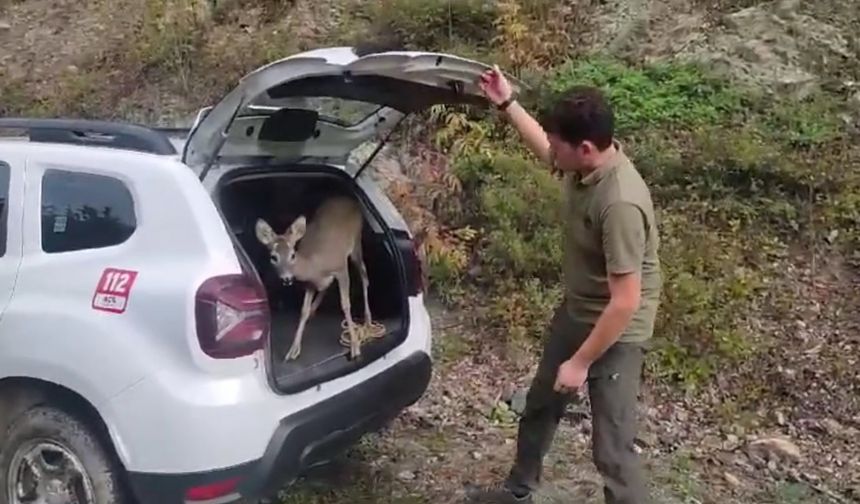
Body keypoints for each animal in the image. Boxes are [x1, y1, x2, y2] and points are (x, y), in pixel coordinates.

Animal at [255, 194, 376, 362]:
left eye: (292, 255)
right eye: (273, 257)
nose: (287, 278)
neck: (315, 264)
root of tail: (347, 198)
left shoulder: (341, 268)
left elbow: (345, 304)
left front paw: (355, 348)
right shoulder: (309, 283)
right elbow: (303, 311)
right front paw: (293, 350)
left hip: (356, 243)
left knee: (364, 275)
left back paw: (368, 320)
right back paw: (314, 308)